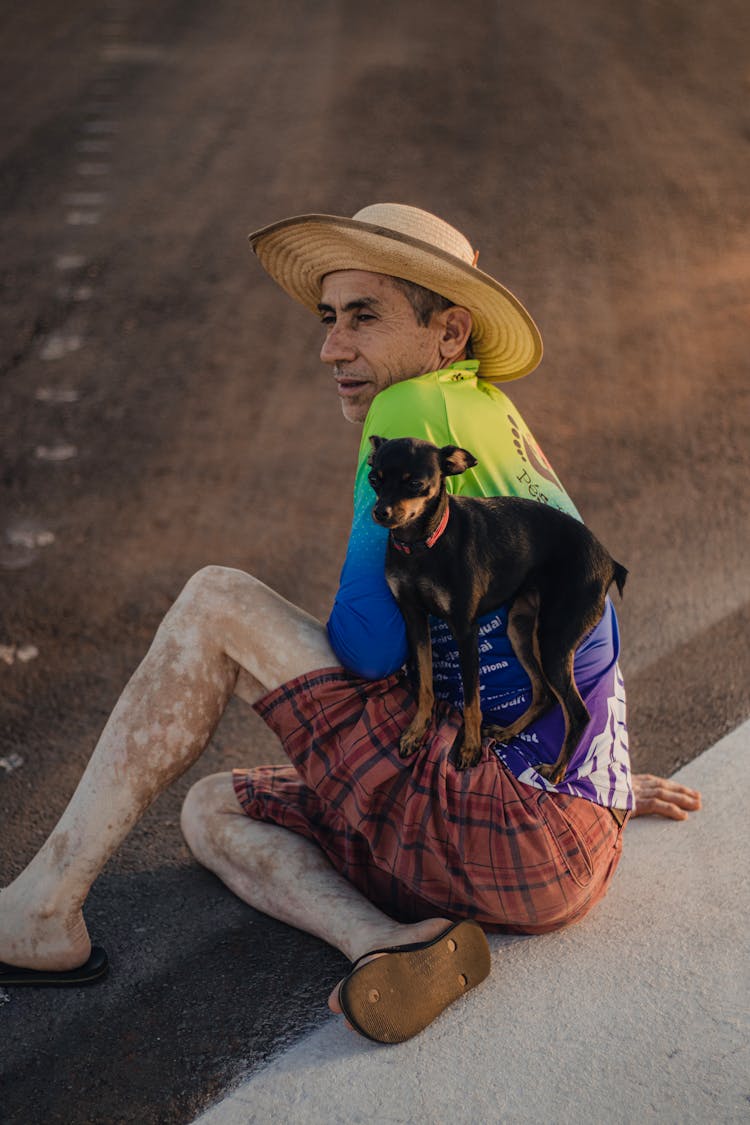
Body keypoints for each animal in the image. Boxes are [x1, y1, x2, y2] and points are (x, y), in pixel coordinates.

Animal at [368, 432, 629, 783]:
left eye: (415, 484)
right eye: (374, 479)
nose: (380, 512)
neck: (424, 544)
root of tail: (610, 563)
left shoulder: (465, 630)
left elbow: (471, 699)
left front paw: (469, 749)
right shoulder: (414, 619)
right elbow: (424, 684)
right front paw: (416, 731)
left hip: (554, 642)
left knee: (578, 713)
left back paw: (556, 771)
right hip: (519, 628)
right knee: (544, 694)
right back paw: (508, 732)